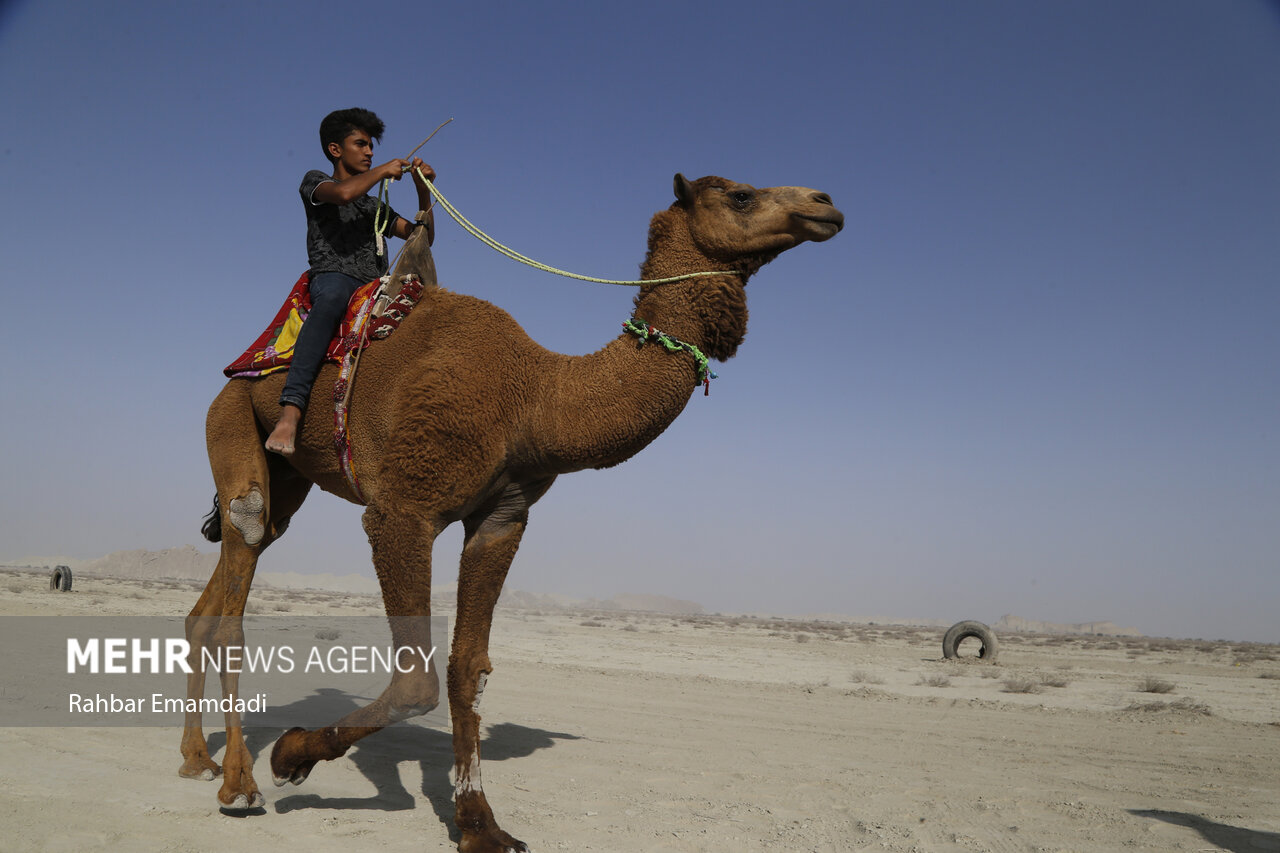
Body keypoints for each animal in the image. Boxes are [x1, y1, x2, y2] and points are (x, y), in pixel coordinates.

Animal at [180, 169, 839, 845]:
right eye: (740, 195)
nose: (825, 205)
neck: (533, 398)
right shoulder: (402, 511)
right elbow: (416, 680)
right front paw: (292, 754)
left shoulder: (501, 519)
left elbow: (468, 669)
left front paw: (480, 823)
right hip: (231, 416)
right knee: (242, 543)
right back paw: (239, 782)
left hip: (288, 475)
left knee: (229, 575)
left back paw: (197, 759)